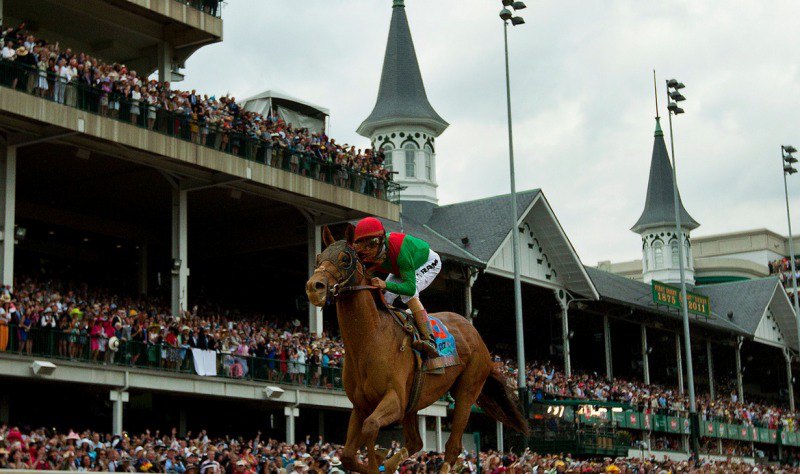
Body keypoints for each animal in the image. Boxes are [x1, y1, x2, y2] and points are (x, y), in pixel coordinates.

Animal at [304, 223, 528, 474]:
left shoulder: (395, 400)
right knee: (415, 442)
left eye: (345, 258)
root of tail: (476, 334)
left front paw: (377, 459)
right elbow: (348, 456)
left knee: (452, 447)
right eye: (318, 257)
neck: (370, 340)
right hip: (414, 403)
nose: (314, 287)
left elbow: (371, 426)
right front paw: (380, 459)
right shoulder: (361, 406)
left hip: (466, 391)